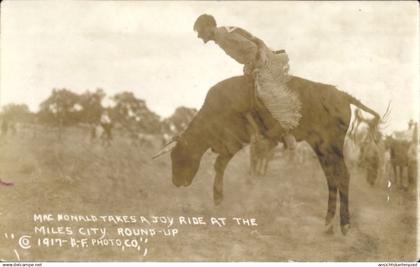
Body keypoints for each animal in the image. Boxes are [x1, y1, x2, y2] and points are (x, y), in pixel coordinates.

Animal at [153, 74, 380, 236]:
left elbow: (220, 163)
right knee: (332, 179)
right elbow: (221, 163)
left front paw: (218, 197)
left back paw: (345, 224)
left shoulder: (237, 137)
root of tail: (341, 94)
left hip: (332, 145)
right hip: (321, 147)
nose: (176, 182)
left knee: (343, 176)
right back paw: (328, 224)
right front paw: (219, 198)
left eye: (178, 156)